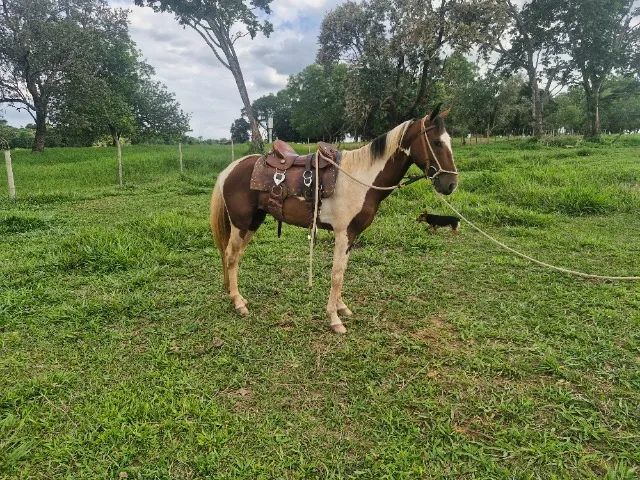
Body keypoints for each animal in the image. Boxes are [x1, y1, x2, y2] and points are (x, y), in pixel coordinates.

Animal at [210, 107, 458, 333]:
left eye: (449, 141)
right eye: (437, 142)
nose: (451, 184)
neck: (360, 179)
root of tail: (231, 168)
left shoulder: (352, 236)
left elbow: (343, 270)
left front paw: (341, 308)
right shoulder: (343, 233)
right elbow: (336, 274)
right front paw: (334, 319)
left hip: (253, 223)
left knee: (236, 257)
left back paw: (238, 297)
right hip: (241, 224)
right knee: (231, 257)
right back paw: (238, 303)